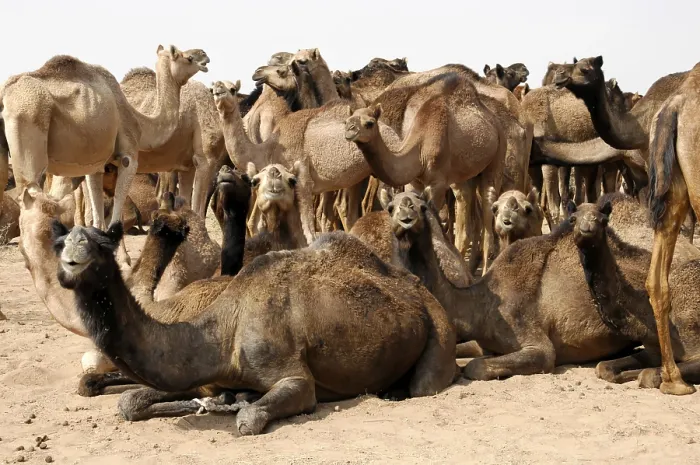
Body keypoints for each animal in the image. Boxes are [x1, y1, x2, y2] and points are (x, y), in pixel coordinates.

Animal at [0, 45, 208, 241]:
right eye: (188, 57)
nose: (205, 56)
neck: (140, 122)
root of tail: (5, 92)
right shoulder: (129, 157)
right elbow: (114, 218)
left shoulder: (97, 166)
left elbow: (97, 218)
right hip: (28, 117)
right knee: (31, 192)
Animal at [54, 221, 457, 434]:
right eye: (63, 241)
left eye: (100, 243)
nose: (72, 255)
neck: (225, 330)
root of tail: (418, 288)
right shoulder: (206, 374)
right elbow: (130, 400)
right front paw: (224, 400)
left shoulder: (293, 376)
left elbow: (250, 418)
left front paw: (239, 405)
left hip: (439, 324)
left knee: (424, 384)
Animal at [345, 76, 506, 274]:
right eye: (347, 120)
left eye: (369, 123)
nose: (350, 131)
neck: (419, 148)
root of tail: (494, 119)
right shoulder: (414, 181)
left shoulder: (437, 183)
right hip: (465, 173)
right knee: (465, 202)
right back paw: (466, 265)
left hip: (498, 153)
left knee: (487, 204)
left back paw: (483, 270)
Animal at [570, 200, 700, 391]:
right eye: (572, 219)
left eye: (603, 220)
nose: (587, 227)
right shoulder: (653, 349)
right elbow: (602, 367)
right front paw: (620, 374)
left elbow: (647, 375)